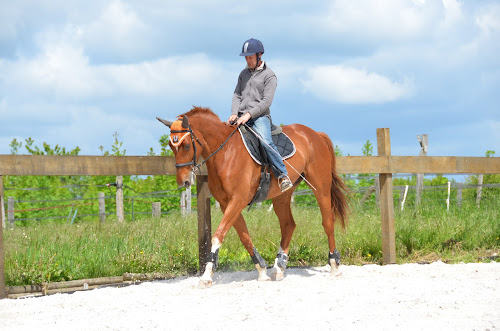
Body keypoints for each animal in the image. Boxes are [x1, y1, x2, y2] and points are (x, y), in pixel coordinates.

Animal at [157, 107, 348, 286]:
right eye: (171, 146)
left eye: (187, 145)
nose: (183, 181)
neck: (226, 153)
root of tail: (314, 134)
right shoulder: (227, 204)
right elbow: (244, 237)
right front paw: (262, 271)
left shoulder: (237, 200)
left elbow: (218, 235)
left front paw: (206, 277)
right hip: (282, 195)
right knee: (288, 225)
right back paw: (278, 268)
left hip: (321, 188)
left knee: (327, 222)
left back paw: (334, 265)